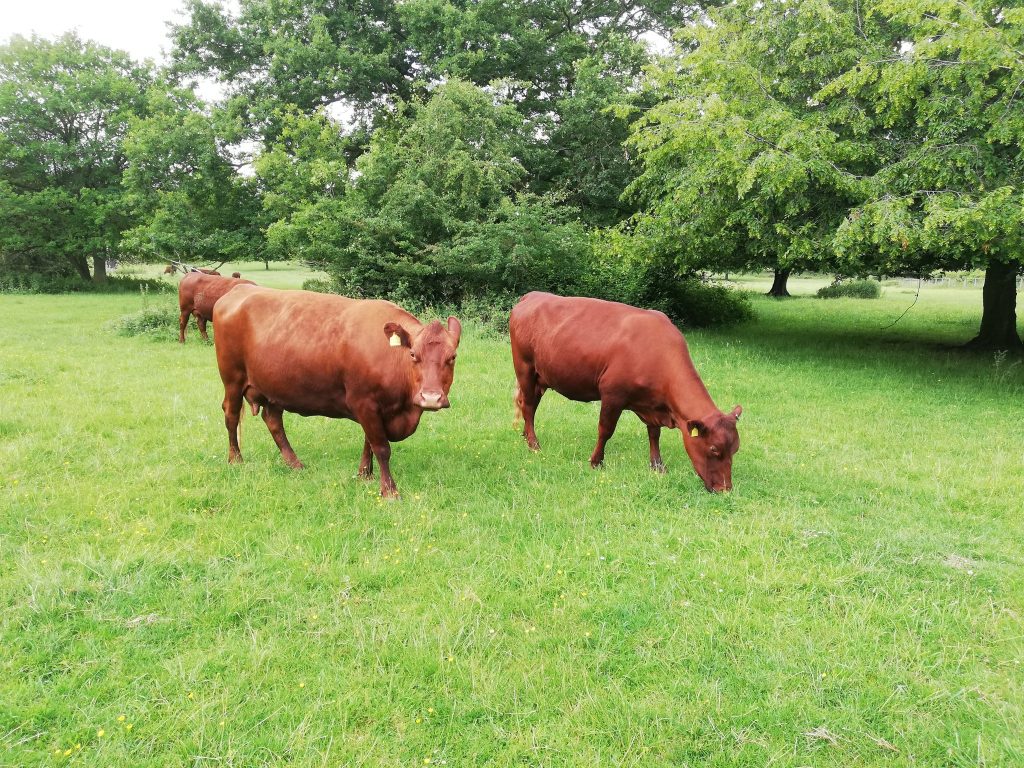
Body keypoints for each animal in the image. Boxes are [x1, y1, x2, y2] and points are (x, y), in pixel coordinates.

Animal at [211, 286, 460, 499]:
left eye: (452, 357)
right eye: (413, 354)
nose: (431, 398)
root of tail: (238, 290)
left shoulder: (374, 409)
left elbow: (369, 442)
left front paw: (364, 475)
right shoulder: (364, 402)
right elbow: (381, 447)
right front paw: (389, 491)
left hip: (274, 385)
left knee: (273, 421)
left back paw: (295, 464)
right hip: (232, 379)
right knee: (231, 415)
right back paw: (236, 459)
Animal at [507, 290, 741, 495]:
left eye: (735, 449)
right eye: (714, 449)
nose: (725, 490)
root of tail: (533, 295)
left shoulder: (653, 404)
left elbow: (654, 434)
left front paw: (657, 465)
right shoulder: (612, 394)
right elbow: (605, 430)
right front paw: (596, 461)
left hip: (541, 377)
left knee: (530, 406)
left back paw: (526, 435)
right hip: (525, 368)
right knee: (528, 405)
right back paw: (534, 444)